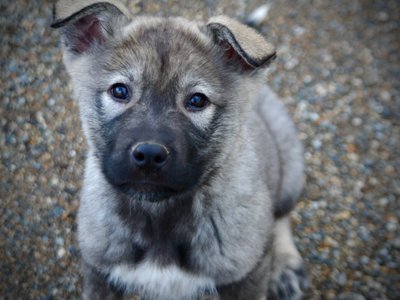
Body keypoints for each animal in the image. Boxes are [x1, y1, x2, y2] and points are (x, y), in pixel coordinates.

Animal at [51, 1, 308, 298]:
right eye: (119, 91)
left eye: (197, 100)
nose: (149, 155)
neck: (159, 218)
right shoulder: (98, 270)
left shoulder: (246, 276)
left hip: (290, 166)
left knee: (281, 217)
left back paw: (285, 267)